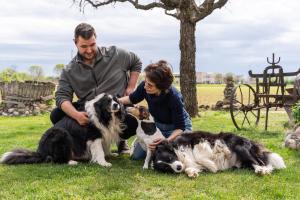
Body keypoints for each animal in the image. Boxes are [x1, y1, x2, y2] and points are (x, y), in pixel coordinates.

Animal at [152, 131, 286, 178]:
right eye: (166, 168)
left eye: (170, 157)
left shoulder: (199, 141)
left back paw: (262, 170)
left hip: (240, 148)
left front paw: (211, 165)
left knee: (261, 163)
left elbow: (199, 156)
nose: (178, 168)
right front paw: (191, 172)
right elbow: (191, 166)